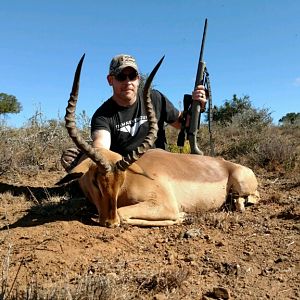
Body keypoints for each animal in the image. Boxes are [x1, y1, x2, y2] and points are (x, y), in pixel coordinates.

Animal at [57, 54, 258, 227]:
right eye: (95, 182)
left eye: (120, 182)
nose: (110, 222)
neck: (131, 178)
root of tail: (230, 165)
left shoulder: (164, 205)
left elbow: (123, 213)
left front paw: (182, 216)